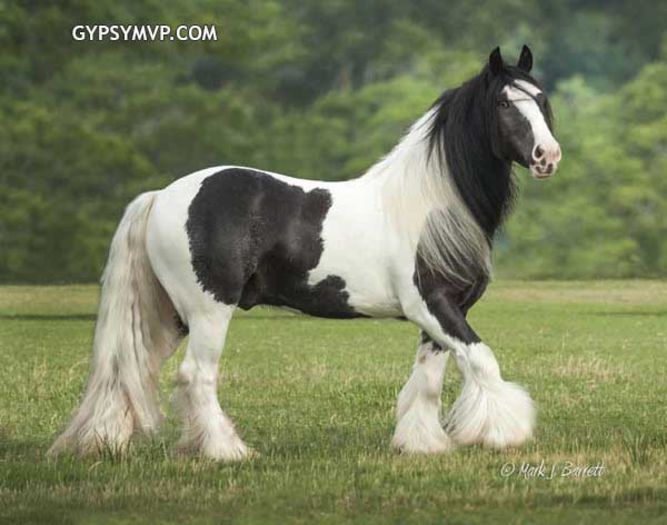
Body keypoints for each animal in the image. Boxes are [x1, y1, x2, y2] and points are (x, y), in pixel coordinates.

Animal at [52, 46, 560, 458]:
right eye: (503, 103)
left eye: (541, 99)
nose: (547, 156)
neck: (429, 206)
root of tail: (161, 195)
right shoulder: (431, 305)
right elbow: (482, 360)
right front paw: (505, 433)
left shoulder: (445, 311)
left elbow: (429, 381)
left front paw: (421, 443)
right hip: (208, 309)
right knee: (196, 375)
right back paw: (226, 451)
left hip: (172, 313)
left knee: (130, 370)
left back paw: (108, 441)